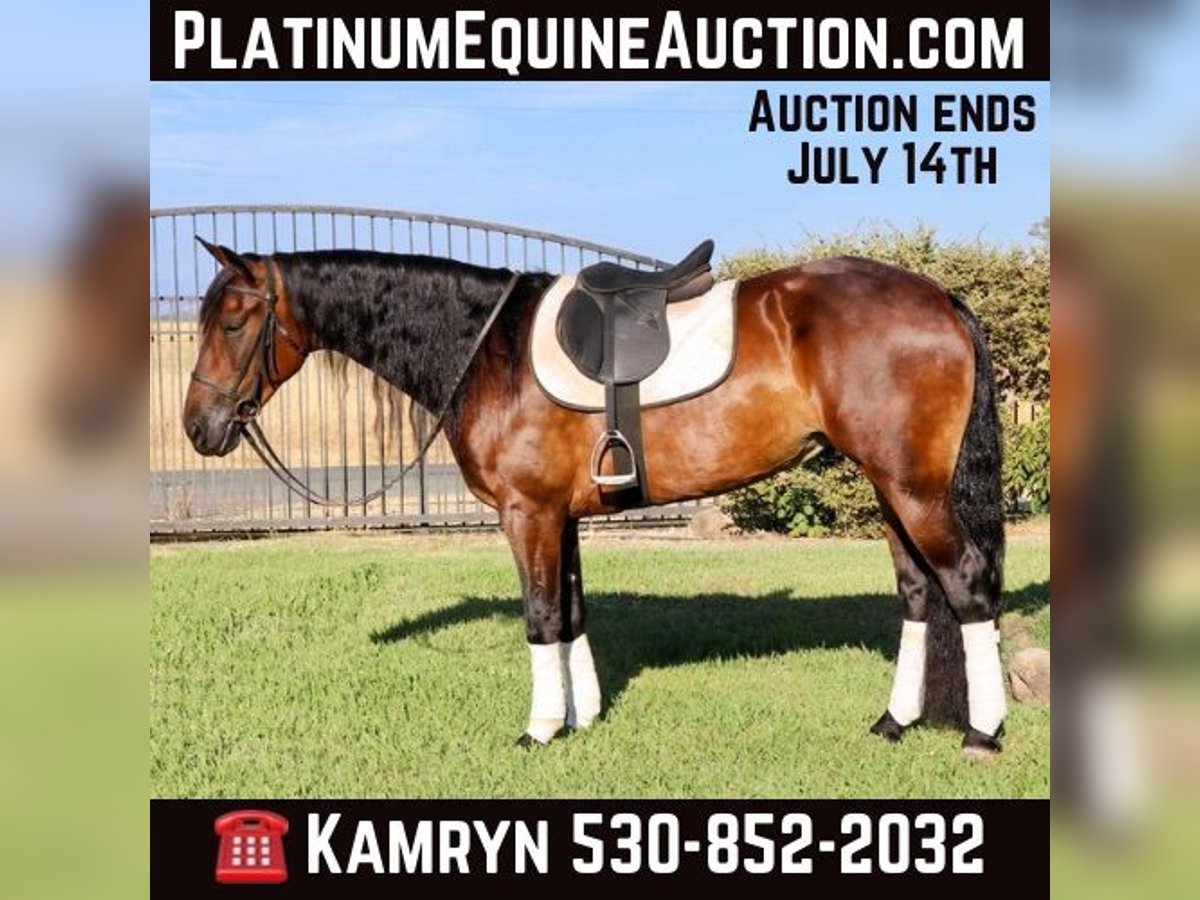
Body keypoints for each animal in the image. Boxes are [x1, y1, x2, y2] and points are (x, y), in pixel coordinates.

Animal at [183, 238, 1008, 756]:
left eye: (235, 322)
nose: (198, 427)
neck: (488, 349)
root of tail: (938, 297)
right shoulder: (565, 517)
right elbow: (573, 614)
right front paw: (582, 718)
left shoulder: (528, 514)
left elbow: (541, 618)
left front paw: (541, 729)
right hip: (892, 488)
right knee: (917, 592)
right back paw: (894, 722)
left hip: (912, 489)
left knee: (965, 585)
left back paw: (982, 732)